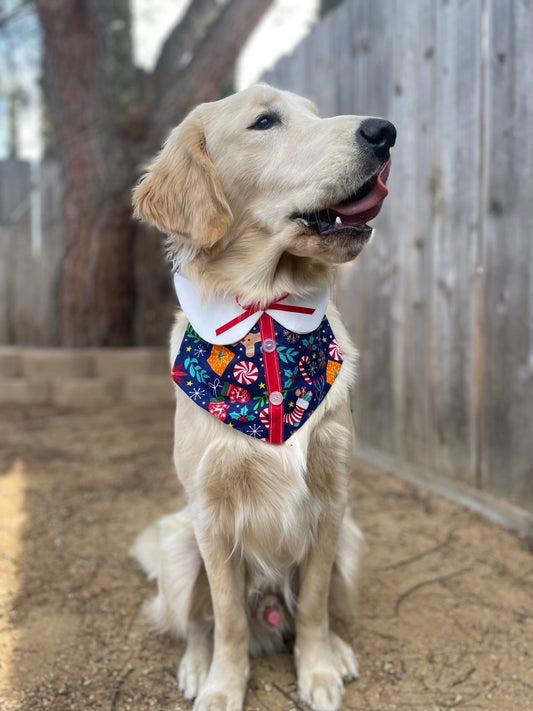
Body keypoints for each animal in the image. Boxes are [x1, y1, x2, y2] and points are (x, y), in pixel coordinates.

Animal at [129, 85, 394, 711]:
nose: (384, 132)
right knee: (197, 622)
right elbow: (226, 618)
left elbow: (316, 604)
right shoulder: (211, 516)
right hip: (179, 546)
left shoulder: (331, 502)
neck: (269, 316)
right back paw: (198, 667)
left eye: (317, 114)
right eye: (265, 121)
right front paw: (224, 685)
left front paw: (317, 669)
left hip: (351, 540)